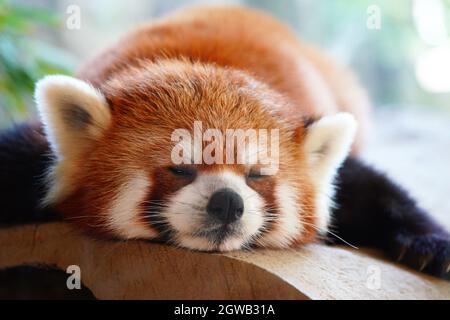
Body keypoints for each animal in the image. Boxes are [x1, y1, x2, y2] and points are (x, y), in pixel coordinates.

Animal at [0, 6, 448, 278]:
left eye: (257, 175)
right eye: (180, 168)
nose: (228, 203)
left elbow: (375, 190)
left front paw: (431, 246)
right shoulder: (35, 154)